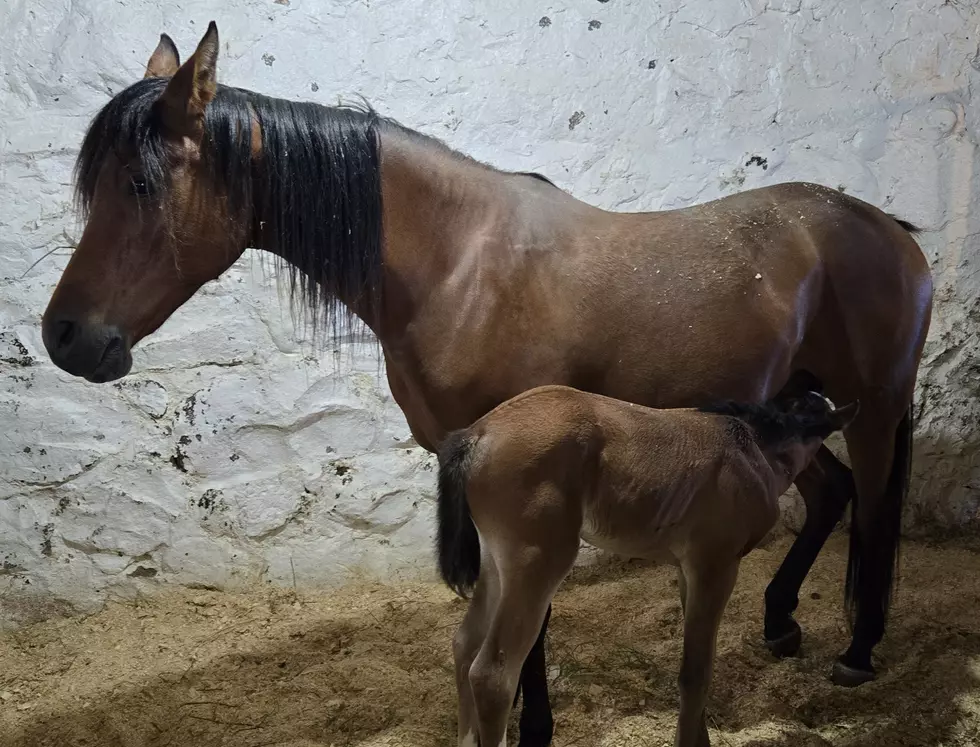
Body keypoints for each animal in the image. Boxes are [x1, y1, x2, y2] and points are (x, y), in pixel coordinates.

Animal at [436, 387, 859, 747]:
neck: (754, 446)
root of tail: (477, 434)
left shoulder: (688, 569)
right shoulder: (716, 563)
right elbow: (695, 673)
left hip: (496, 563)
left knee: (463, 644)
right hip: (537, 562)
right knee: (492, 675)